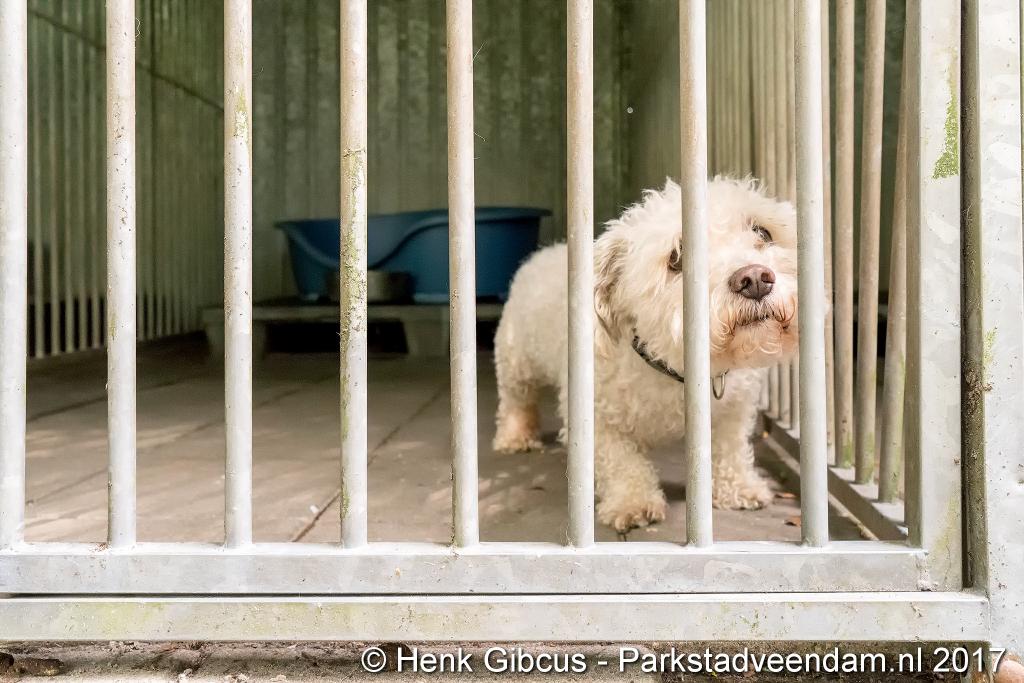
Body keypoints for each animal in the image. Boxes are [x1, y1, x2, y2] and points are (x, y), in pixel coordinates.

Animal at [492, 177, 799, 531]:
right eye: (677, 257)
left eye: (762, 232)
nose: (754, 279)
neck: (675, 368)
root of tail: (545, 252)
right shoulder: (598, 419)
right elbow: (622, 463)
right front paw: (632, 503)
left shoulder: (733, 411)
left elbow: (731, 449)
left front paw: (740, 488)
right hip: (517, 362)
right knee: (516, 400)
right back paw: (515, 437)